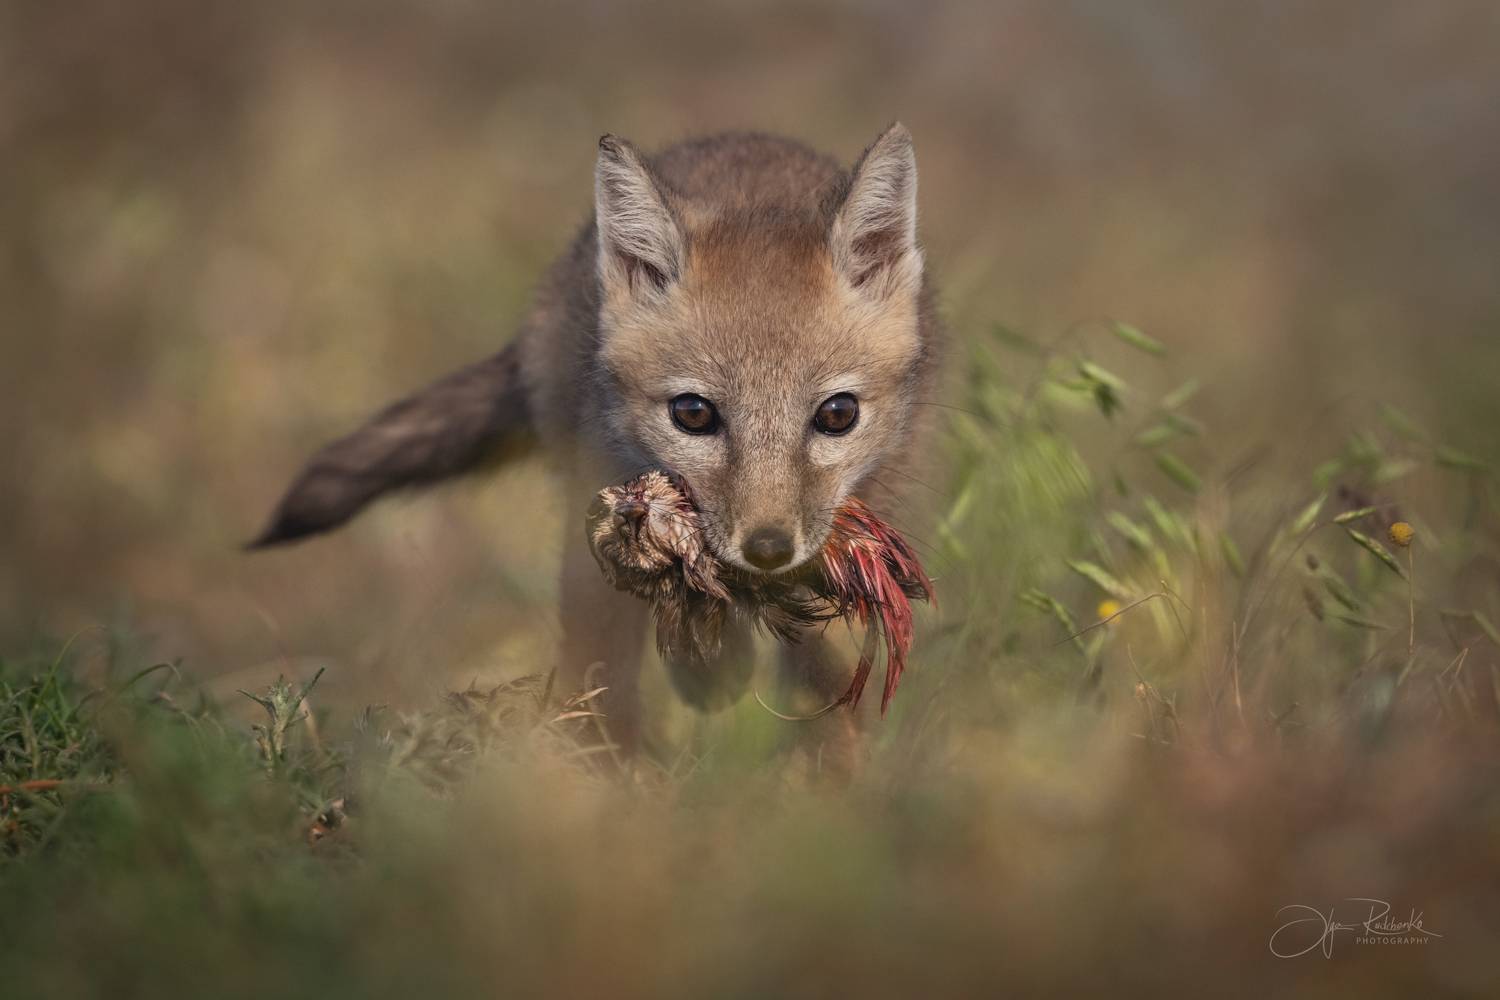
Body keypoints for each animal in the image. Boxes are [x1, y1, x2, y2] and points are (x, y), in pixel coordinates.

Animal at [251, 123, 942, 758]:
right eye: (693, 414)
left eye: (837, 415)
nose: (768, 550)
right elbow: (634, 650)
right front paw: (694, 688)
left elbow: (826, 678)